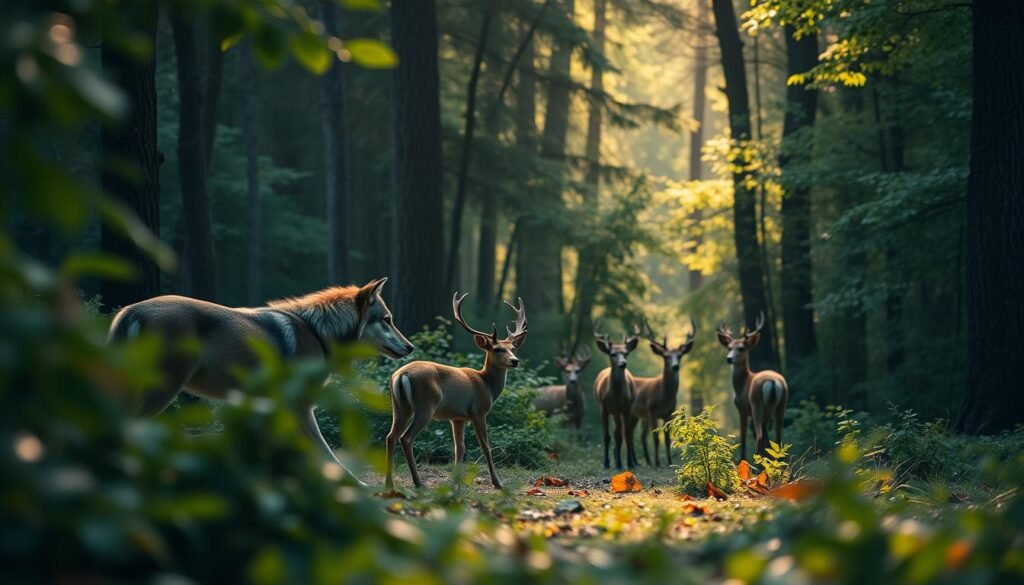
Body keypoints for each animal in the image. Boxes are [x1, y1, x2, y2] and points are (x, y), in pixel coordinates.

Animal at [385, 290, 528, 489]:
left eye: (513, 348)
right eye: (497, 349)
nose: (514, 361)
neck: (487, 385)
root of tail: (401, 374)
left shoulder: (458, 418)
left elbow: (459, 449)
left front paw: (456, 485)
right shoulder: (478, 411)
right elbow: (485, 446)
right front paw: (497, 483)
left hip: (399, 406)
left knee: (390, 436)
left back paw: (389, 483)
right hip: (425, 405)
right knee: (406, 438)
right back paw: (418, 483)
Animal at [593, 319, 638, 471]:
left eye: (626, 353)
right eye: (612, 354)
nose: (623, 364)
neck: (616, 396)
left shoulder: (627, 408)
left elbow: (627, 434)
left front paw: (629, 463)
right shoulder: (603, 407)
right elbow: (607, 436)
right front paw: (606, 463)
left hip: (620, 412)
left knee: (622, 434)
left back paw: (627, 461)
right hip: (612, 411)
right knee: (615, 434)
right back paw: (616, 461)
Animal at [630, 317, 696, 469]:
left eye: (680, 355)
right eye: (666, 356)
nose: (675, 366)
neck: (663, 396)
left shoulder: (668, 413)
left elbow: (666, 439)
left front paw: (669, 462)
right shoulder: (652, 410)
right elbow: (656, 439)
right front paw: (658, 463)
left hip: (640, 416)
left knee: (641, 435)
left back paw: (644, 462)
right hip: (634, 413)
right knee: (629, 433)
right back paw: (638, 462)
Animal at [716, 311, 786, 463]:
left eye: (741, 348)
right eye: (729, 348)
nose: (729, 358)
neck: (743, 384)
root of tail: (772, 382)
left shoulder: (742, 408)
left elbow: (743, 437)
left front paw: (741, 459)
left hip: (756, 404)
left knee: (759, 436)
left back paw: (755, 462)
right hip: (781, 405)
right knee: (777, 437)